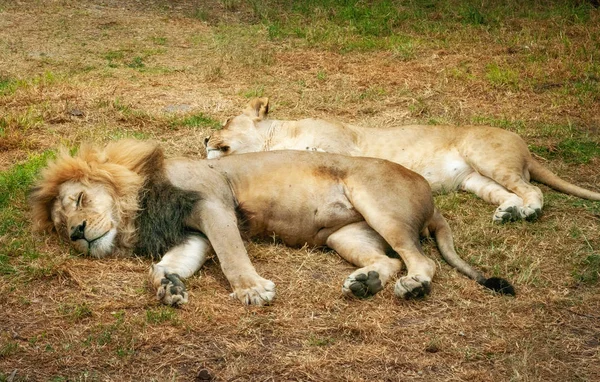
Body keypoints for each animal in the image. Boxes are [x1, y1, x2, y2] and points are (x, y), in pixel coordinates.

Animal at [30, 139, 512, 306]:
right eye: (61, 226)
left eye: (79, 199)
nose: (76, 233)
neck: (139, 210)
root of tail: (431, 197)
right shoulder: (192, 233)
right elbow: (172, 262)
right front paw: (168, 284)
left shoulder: (213, 203)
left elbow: (231, 254)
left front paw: (251, 290)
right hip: (344, 235)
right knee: (390, 260)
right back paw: (365, 282)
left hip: (374, 199)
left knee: (420, 261)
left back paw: (412, 287)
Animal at [206, 97, 600, 224]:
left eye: (225, 120)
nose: (205, 138)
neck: (279, 134)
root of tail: (526, 147)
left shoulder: (344, 146)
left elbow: (320, 155)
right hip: (475, 180)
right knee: (507, 194)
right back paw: (507, 213)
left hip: (485, 155)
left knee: (533, 191)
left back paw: (528, 211)